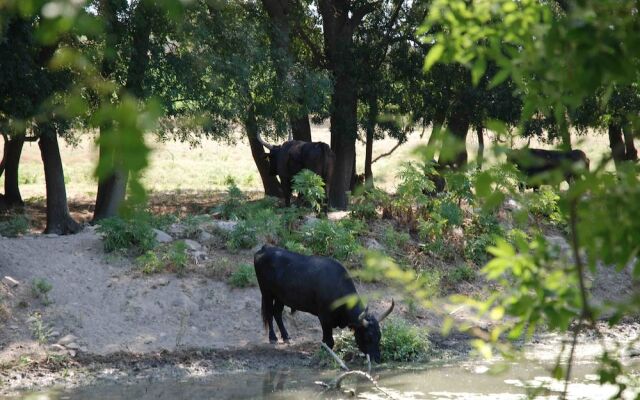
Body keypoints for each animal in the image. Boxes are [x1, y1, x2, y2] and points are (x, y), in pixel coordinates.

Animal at [252, 244, 392, 362]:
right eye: (368, 336)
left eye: (379, 335)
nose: (377, 358)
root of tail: (264, 248)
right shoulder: (324, 317)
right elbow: (328, 341)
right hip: (266, 292)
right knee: (269, 313)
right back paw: (273, 338)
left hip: (280, 297)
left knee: (277, 313)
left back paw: (286, 336)